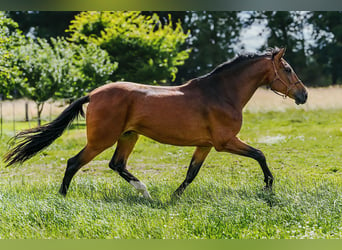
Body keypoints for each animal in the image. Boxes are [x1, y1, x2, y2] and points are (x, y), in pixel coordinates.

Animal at [3, 47, 308, 199]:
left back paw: (145, 192)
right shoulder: (225, 142)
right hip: (102, 139)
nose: (303, 95)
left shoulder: (206, 145)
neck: (221, 93)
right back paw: (63, 197)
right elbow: (260, 154)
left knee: (117, 164)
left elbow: (191, 173)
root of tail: (94, 93)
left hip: (128, 136)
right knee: (73, 162)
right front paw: (268, 188)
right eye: (287, 68)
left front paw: (173, 197)